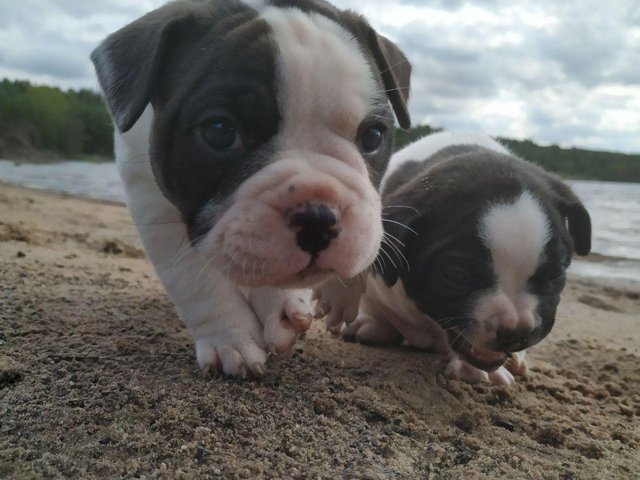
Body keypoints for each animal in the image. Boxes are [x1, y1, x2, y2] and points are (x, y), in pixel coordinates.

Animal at [91, 0, 410, 376]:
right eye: (219, 131)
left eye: (373, 136)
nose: (318, 216)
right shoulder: (152, 198)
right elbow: (194, 280)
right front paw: (230, 338)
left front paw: (282, 306)